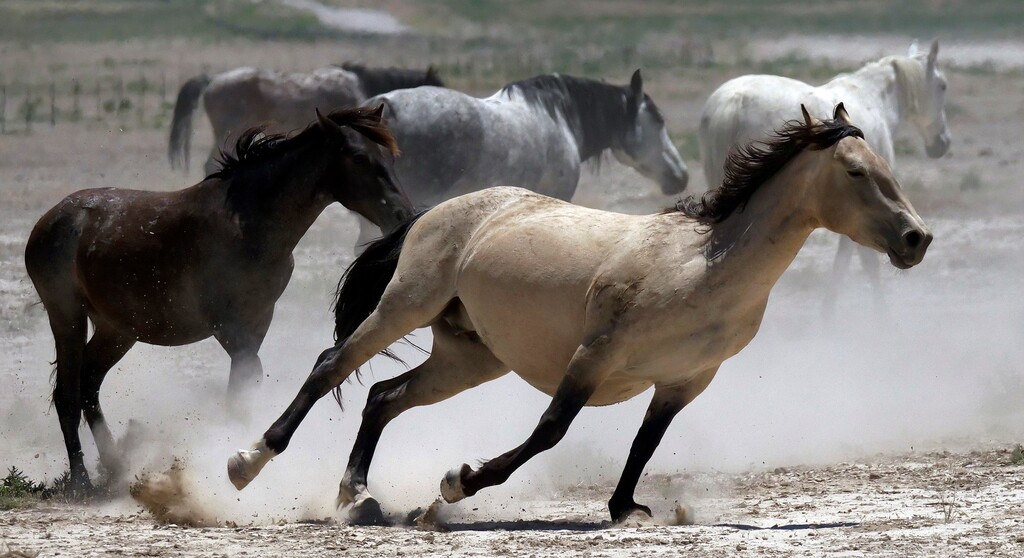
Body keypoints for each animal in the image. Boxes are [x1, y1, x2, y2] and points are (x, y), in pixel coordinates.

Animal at [26, 106, 412, 493]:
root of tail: (49, 220)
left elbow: (244, 387)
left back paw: (116, 466)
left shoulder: (258, 321)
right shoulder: (229, 327)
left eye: (390, 157)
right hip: (68, 317)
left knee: (89, 383)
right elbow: (243, 387)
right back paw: (81, 480)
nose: (402, 215)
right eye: (359, 157)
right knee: (67, 394)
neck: (250, 223)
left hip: (117, 330)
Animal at [227, 104, 932, 525]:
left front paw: (625, 507)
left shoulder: (683, 381)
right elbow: (551, 430)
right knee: (330, 365)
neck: (706, 266)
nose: (916, 239)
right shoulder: (596, 354)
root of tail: (435, 212)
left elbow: (646, 443)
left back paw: (354, 495)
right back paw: (248, 460)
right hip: (405, 305)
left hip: (470, 357)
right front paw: (458, 483)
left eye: (885, 166)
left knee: (382, 396)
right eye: (855, 172)